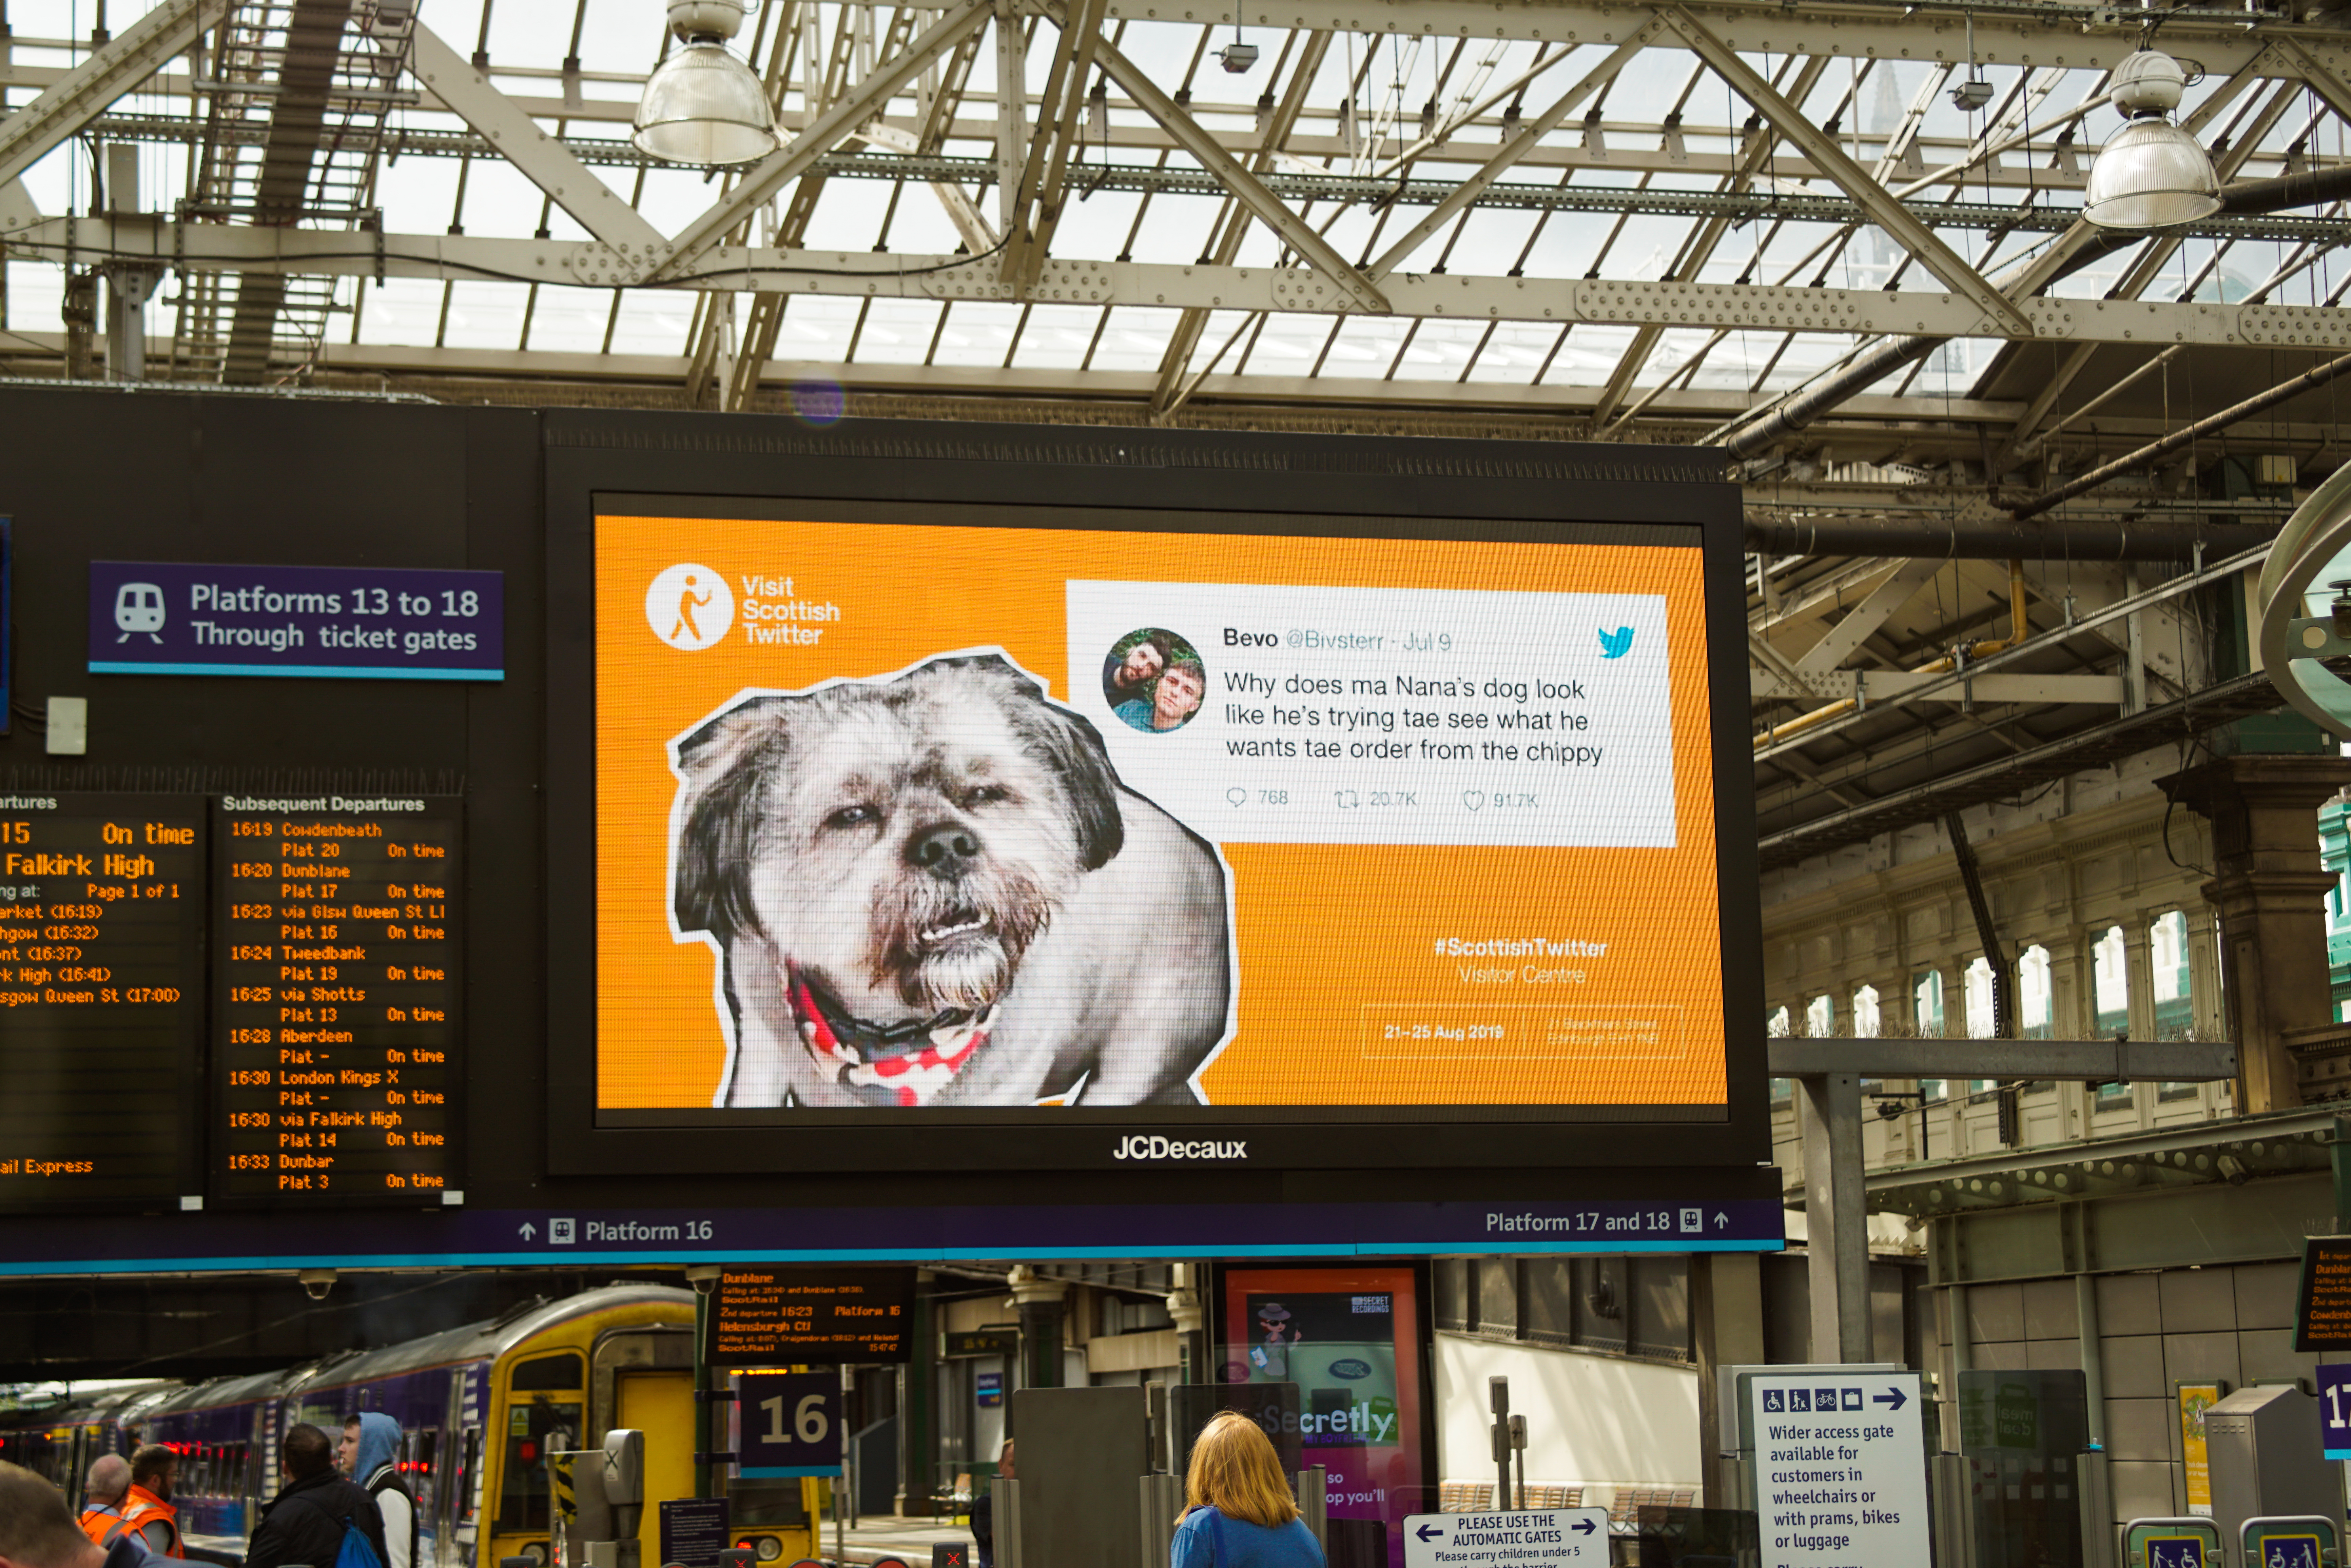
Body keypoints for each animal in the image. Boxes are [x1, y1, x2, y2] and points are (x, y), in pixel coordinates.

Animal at [672, 658, 1232, 1110]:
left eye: (983, 793)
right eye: (853, 815)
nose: (946, 845)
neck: (897, 1041)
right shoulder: (759, 1042)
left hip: (1148, 1039)